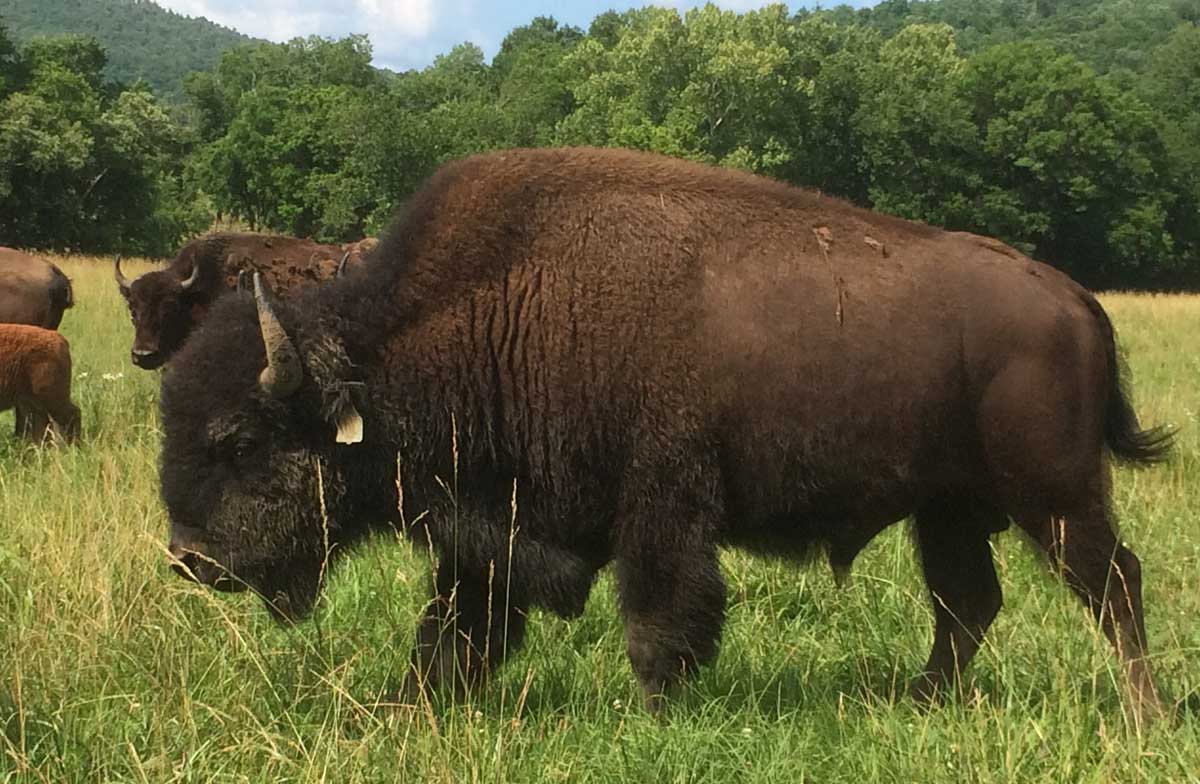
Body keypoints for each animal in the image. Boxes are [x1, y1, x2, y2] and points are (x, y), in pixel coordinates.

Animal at [159, 147, 1171, 723]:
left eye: (241, 442)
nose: (190, 558)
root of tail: (1073, 296)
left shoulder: (661, 509)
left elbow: (657, 620)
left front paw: (653, 714)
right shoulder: (490, 528)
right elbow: (453, 629)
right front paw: (406, 709)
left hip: (1056, 495)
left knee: (1111, 584)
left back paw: (1144, 716)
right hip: (949, 508)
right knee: (967, 604)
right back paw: (918, 705)